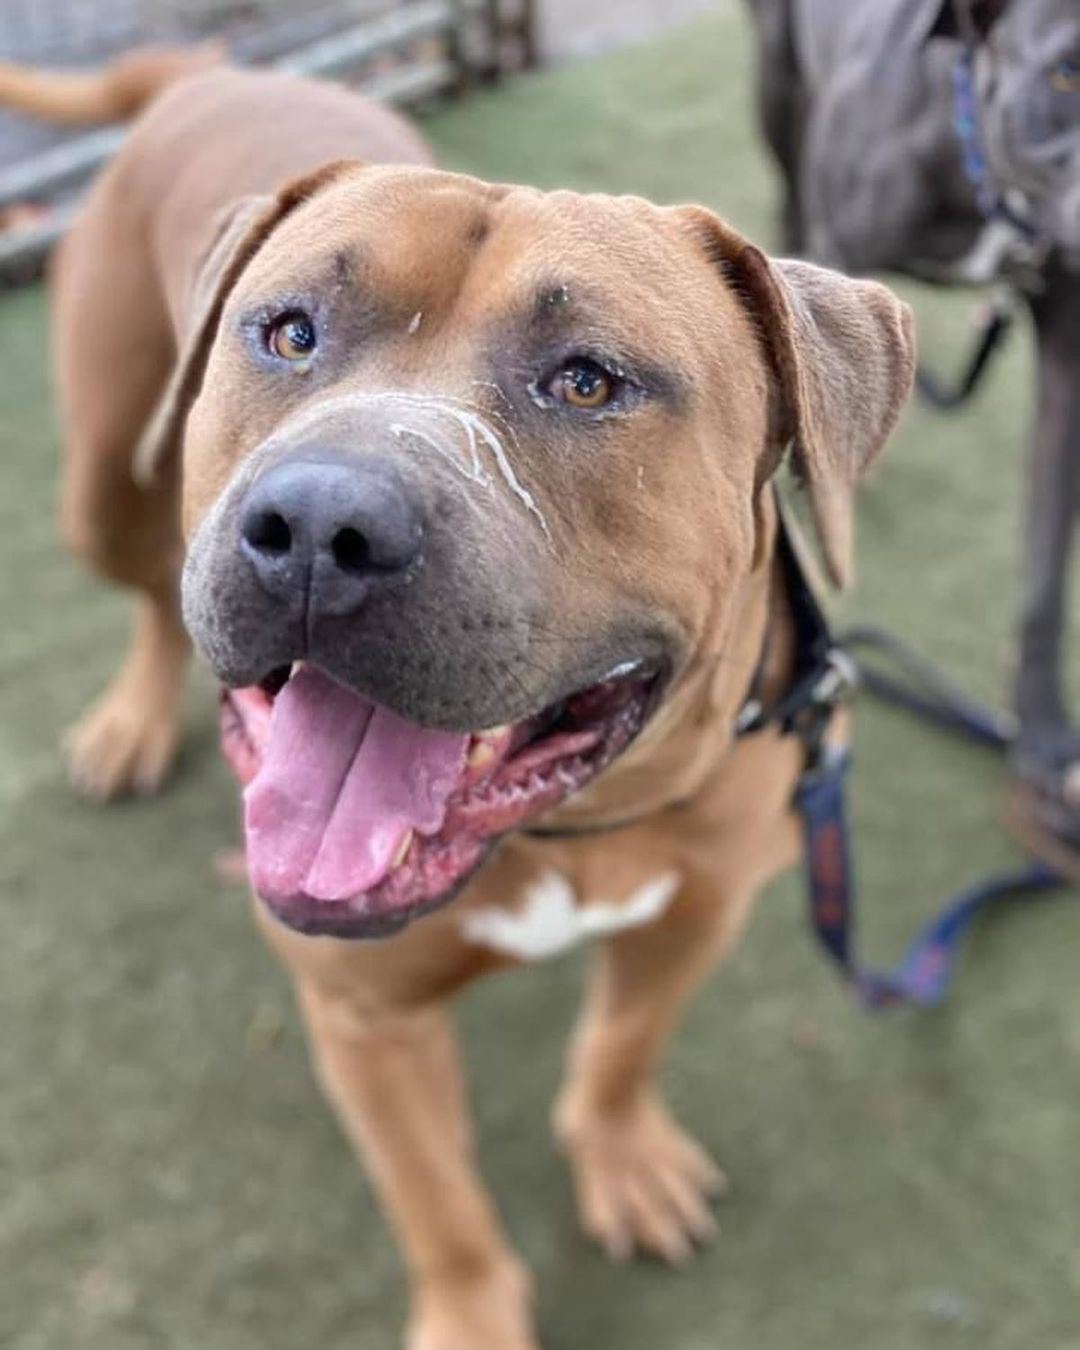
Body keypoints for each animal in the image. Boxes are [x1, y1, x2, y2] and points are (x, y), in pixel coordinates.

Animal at [12, 52, 918, 1350]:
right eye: (288, 332)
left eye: (587, 381)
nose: (317, 528)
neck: (565, 828)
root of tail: (210, 67)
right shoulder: (367, 1019)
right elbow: (437, 1201)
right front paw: (473, 1307)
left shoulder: (696, 917)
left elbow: (622, 1048)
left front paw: (620, 1154)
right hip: (102, 467)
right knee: (143, 584)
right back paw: (131, 721)